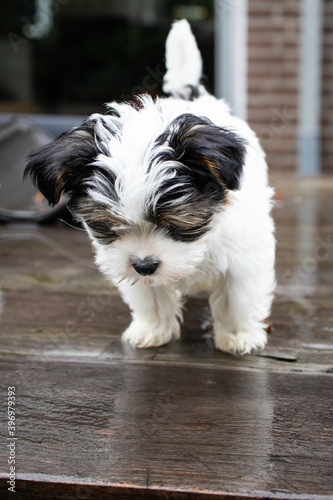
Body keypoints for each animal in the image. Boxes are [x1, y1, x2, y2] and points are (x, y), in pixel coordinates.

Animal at [24, 20, 274, 356]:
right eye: (107, 226)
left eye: (175, 223)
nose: (145, 265)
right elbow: (150, 295)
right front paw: (153, 329)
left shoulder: (243, 253)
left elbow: (237, 295)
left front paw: (238, 335)